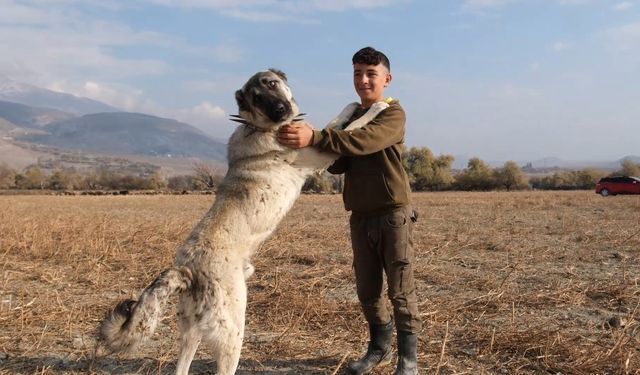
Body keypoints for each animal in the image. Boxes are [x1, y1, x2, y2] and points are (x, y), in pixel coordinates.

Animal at [99, 69, 390, 374]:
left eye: (272, 84)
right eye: (257, 99)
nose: (281, 110)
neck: (261, 127)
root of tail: (186, 269)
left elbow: (336, 123)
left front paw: (354, 104)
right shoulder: (320, 155)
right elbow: (351, 128)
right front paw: (378, 107)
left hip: (191, 331)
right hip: (232, 332)